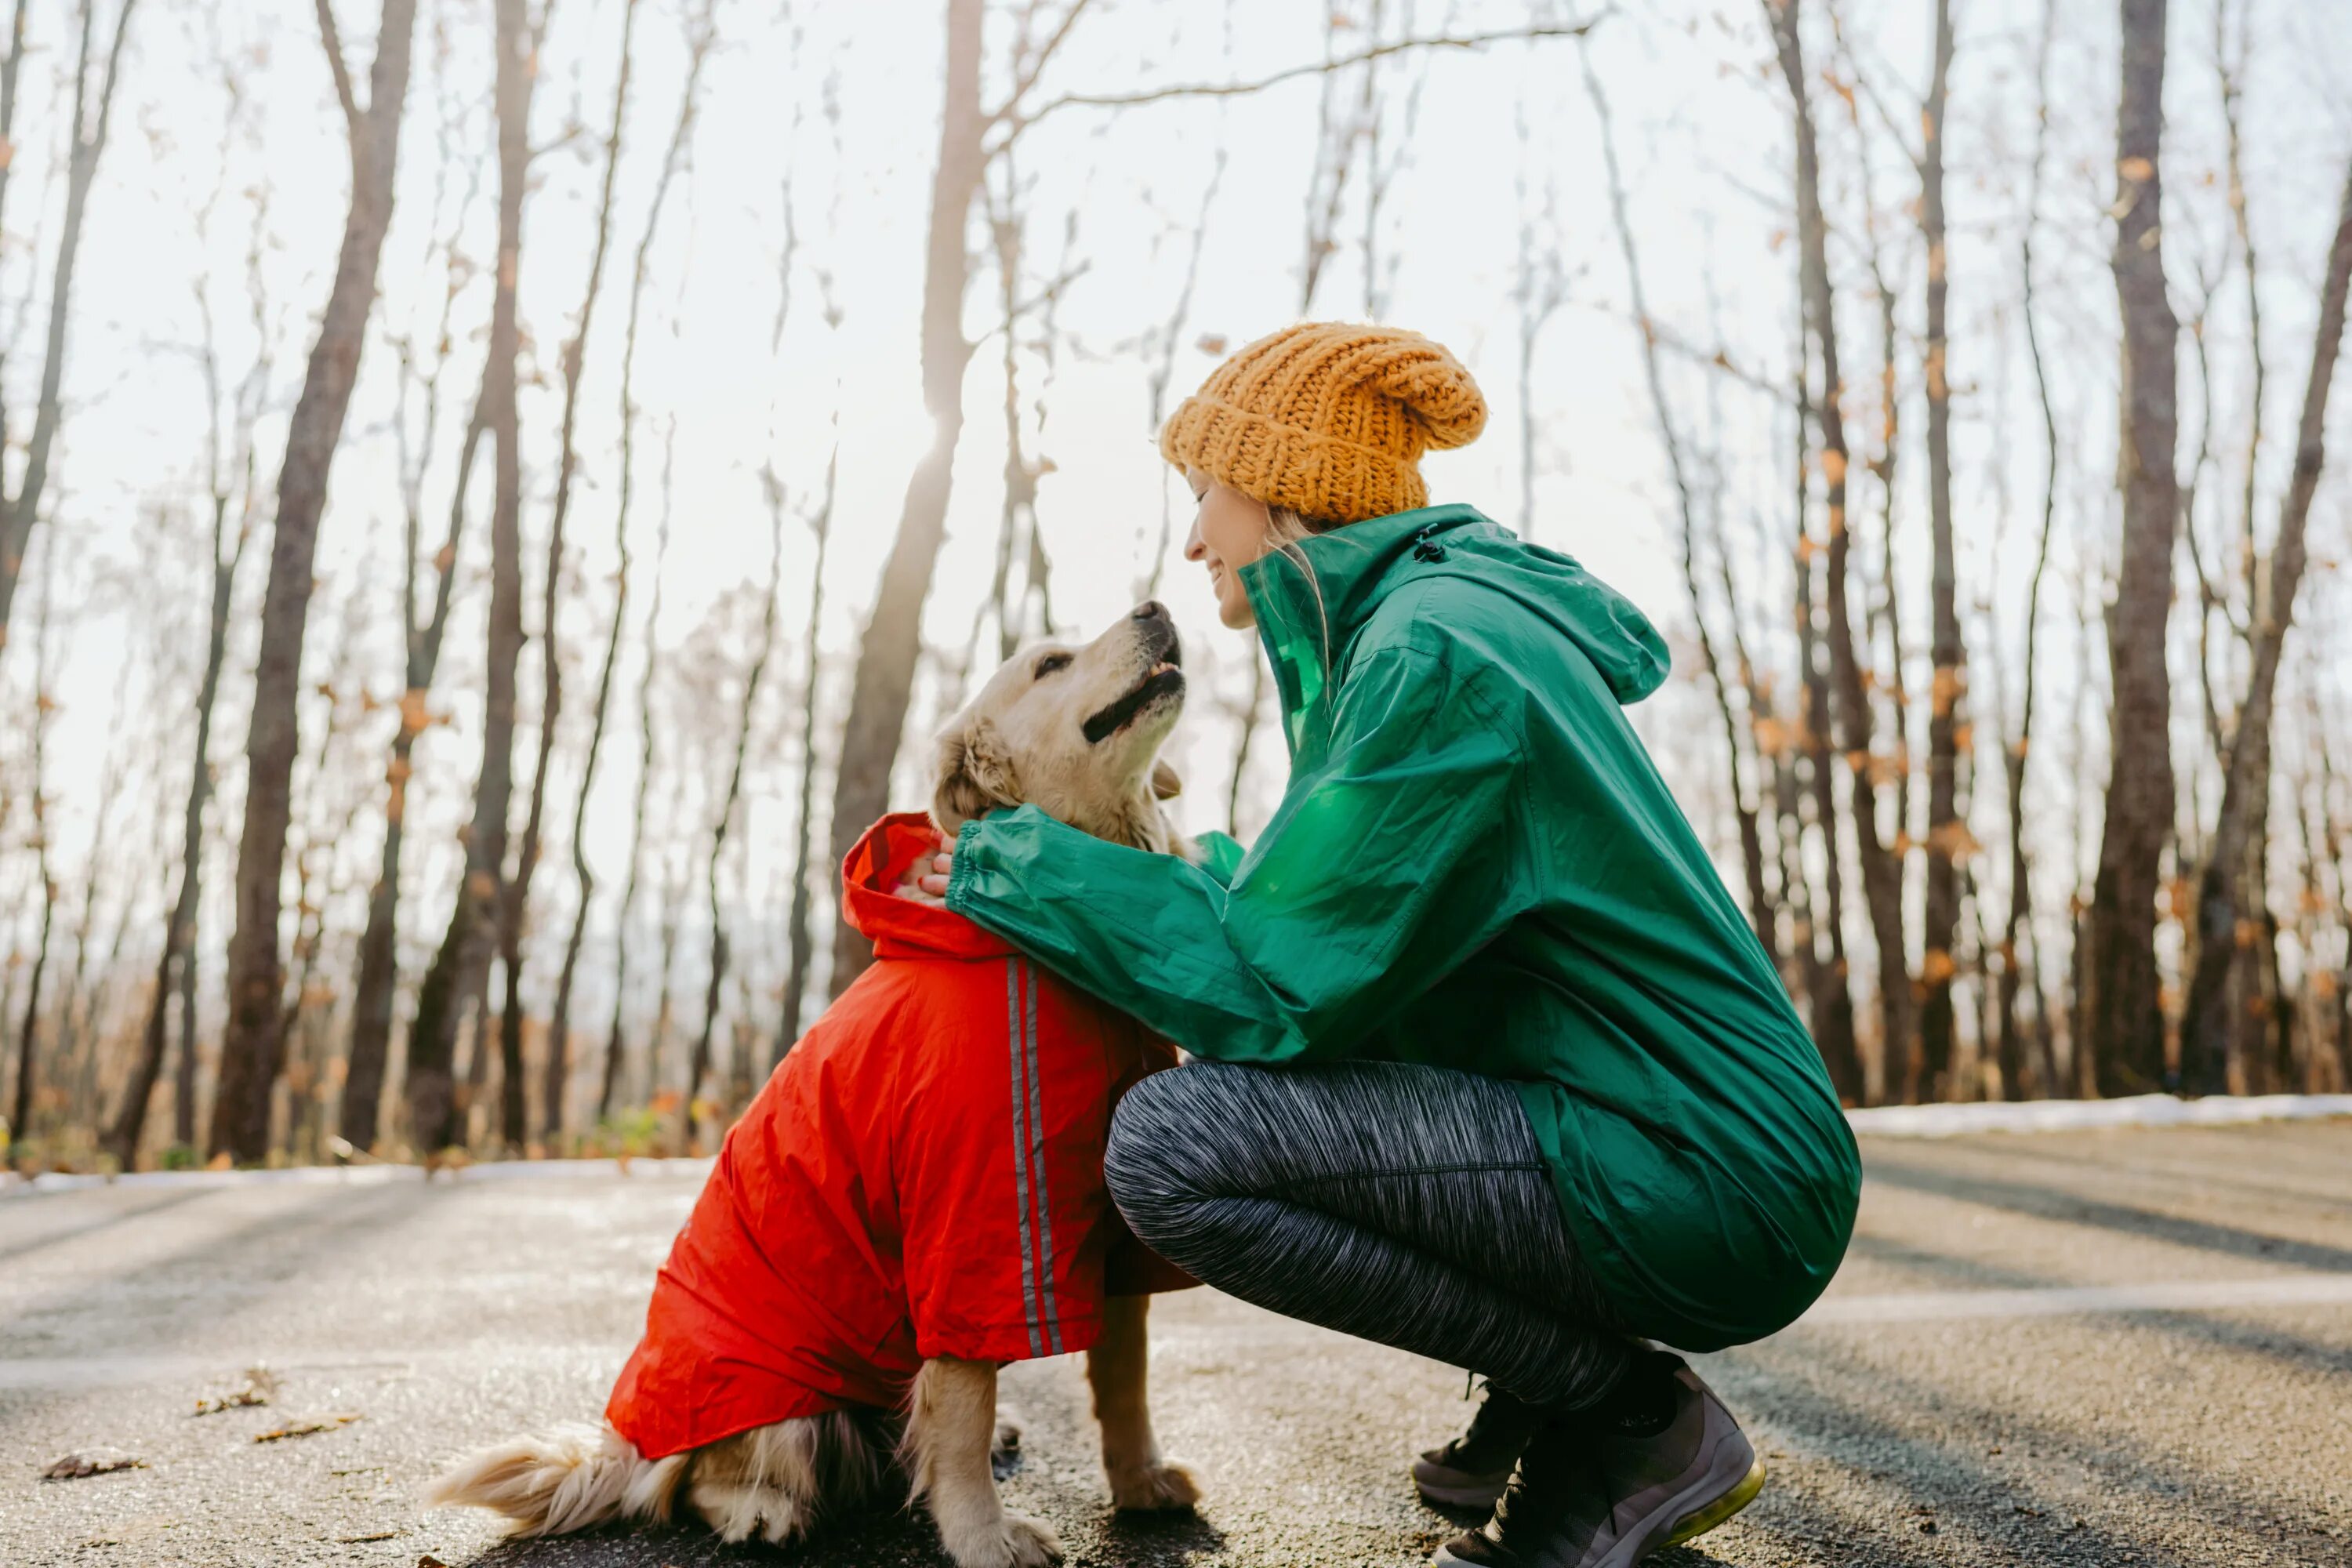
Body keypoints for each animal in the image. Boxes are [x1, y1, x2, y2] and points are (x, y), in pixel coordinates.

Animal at [428, 601, 1195, 1568]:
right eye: (1051, 664)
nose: (1157, 607)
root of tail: (631, 1439)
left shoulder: (1114, 1226)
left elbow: (1124, 1377)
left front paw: (1139, 1483)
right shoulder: (973, 1223)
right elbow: (960, 1403)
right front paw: (984, 1534)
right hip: (781, 1404)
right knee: (693, 1483)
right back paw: (759, 1508)